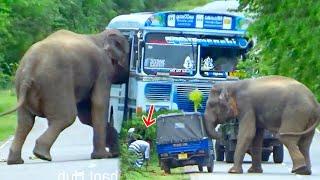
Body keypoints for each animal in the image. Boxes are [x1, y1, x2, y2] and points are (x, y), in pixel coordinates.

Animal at [1, 28, 129, 165]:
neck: (99, 36)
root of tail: (30, 66)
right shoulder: (103, 69)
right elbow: (99, 103)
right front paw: (103, 156)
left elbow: (86, 115)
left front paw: (114, 153)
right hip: (56, 83)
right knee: (66, 117)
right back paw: (42, 155)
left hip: (21, 85)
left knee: (25, 122)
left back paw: (16, 161)